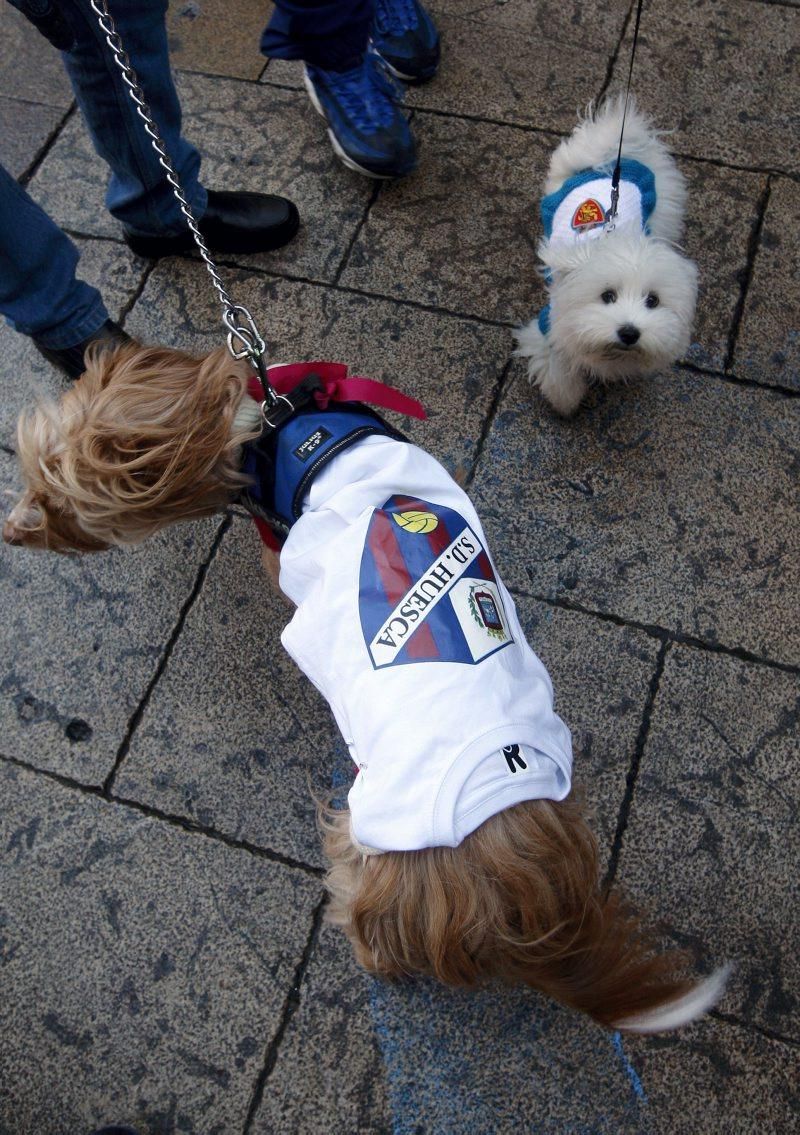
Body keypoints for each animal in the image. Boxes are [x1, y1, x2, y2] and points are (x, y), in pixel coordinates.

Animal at [515, 99, 694, 415]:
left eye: (653, 301)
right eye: (607, 296)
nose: (630, 332)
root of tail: (611, 159)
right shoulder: (547, 327)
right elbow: (557, 365)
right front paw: (566, 402)